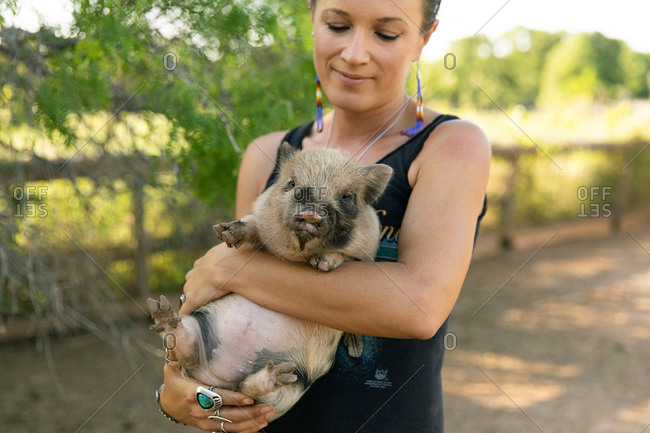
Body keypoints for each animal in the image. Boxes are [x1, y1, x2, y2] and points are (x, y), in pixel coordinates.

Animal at [148, 142, 393, 421]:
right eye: (291, 183)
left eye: (347, 196)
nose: (311, 212)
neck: (299, 255)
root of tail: (217, 379)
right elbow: (253, 226)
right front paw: (225, 232)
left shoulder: (367, 252)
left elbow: (344, 255)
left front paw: (321, 265)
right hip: (195, 326)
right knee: (185, 348)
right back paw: (161, 311)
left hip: (291, 389)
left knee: (252, 390)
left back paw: (276, 374)